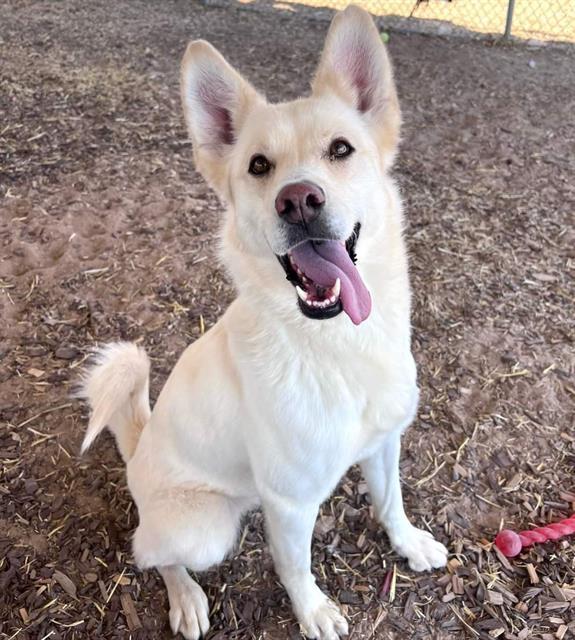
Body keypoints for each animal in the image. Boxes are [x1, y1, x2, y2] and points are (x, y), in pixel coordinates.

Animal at [81, 6, 450, 640]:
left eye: (341, 149)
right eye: (259, 165)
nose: (298, 200)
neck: (337, 347)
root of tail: (140, 446)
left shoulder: (383, 445)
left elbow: (391, 501)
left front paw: (408, 543)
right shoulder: (293, 502)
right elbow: (295, 566)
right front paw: (315, 612)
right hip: (203, 528)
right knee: (151, 552)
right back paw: (185, 598)